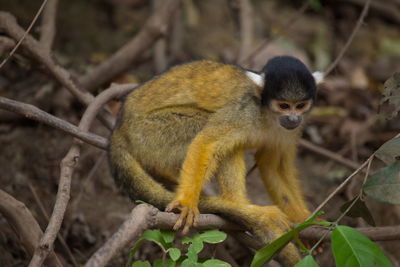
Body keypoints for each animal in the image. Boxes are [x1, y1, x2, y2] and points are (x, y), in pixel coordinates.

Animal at [108, 56, 320, 266]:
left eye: (300, 106)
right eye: (284, 105)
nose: (293, 118)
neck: (267, 114)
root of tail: (119, 128)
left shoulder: (289, 131)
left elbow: (272, 167)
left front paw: (306, 220)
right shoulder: (244, 111)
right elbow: (205, 142)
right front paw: (186, 203)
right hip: (147, 133)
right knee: (207, 126)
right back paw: (241, 207)